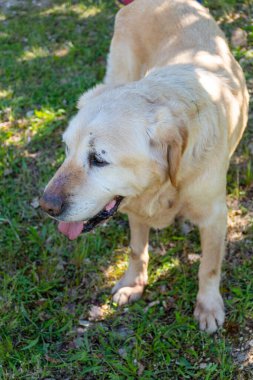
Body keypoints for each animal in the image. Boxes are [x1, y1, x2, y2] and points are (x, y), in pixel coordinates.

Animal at [40, 0, 249, 332]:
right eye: (66, 149)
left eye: (99, 159)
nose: (45, 206)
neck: (164, 185)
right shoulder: (134, 208)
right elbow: (137, 249)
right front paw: (133, 284)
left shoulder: (216, 216)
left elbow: (209, 266)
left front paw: (208, 306)